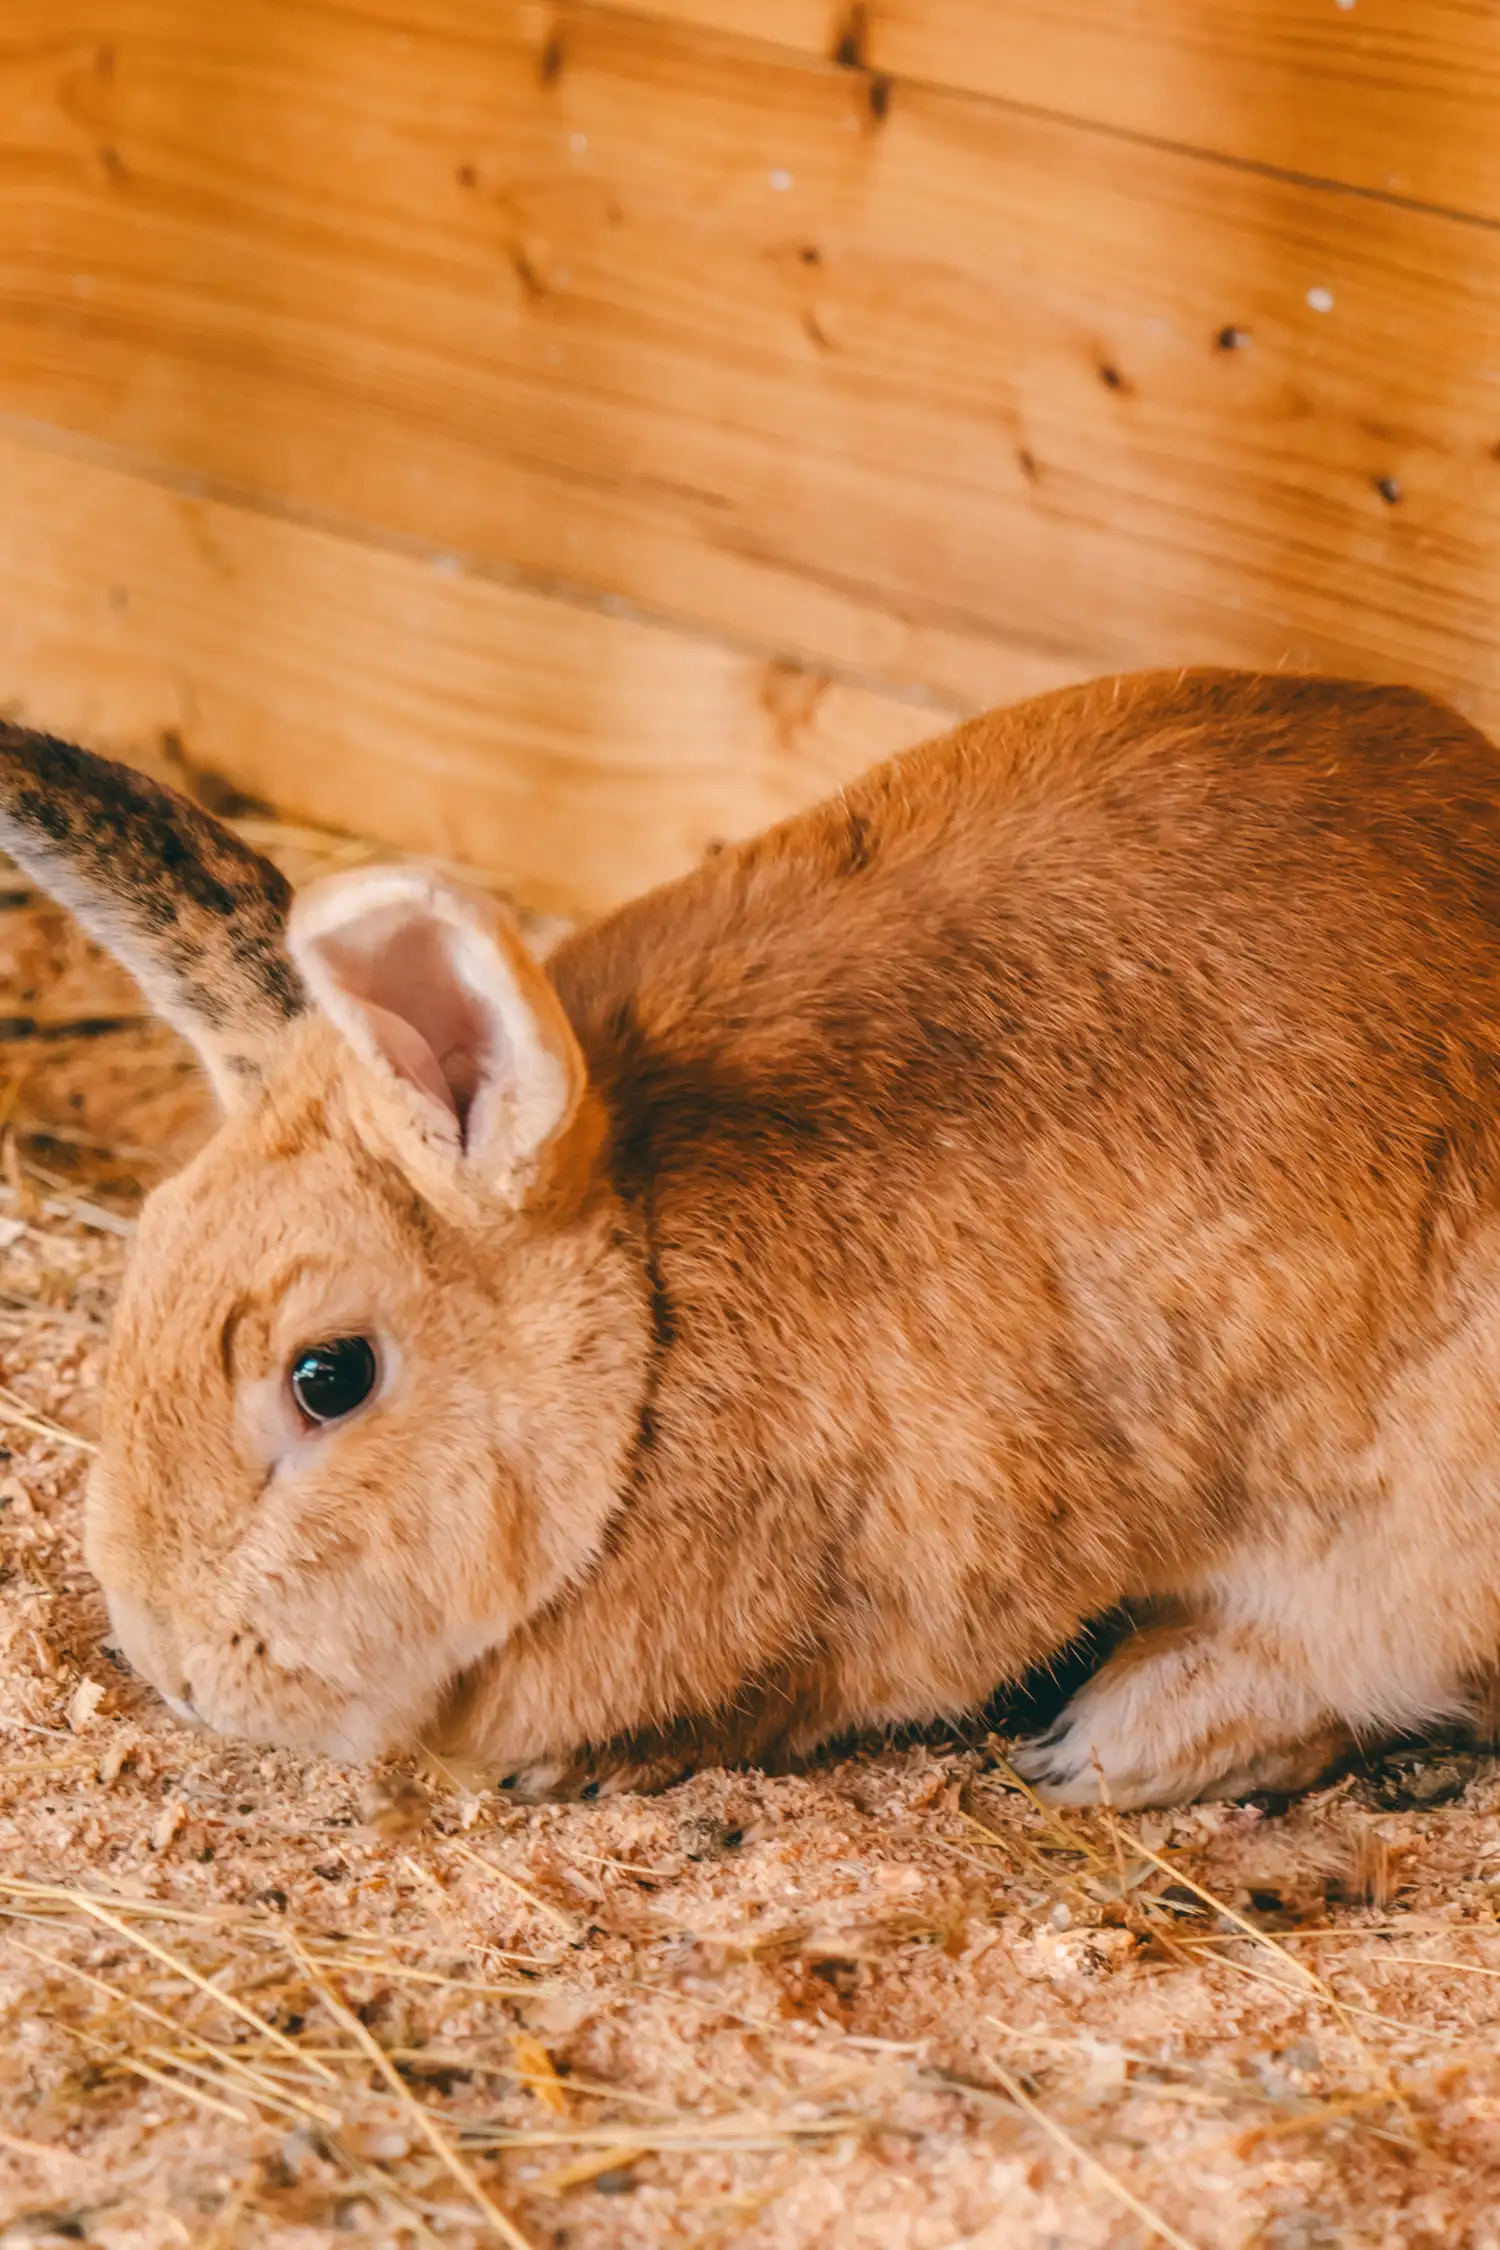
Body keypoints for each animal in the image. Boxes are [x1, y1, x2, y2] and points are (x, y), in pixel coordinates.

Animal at [8, 666, 1500, 1808]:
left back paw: (1127, 1739)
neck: (648, 1340)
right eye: (143, 1261)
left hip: (1424, 1518)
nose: (172, 1664)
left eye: (330, 1377)